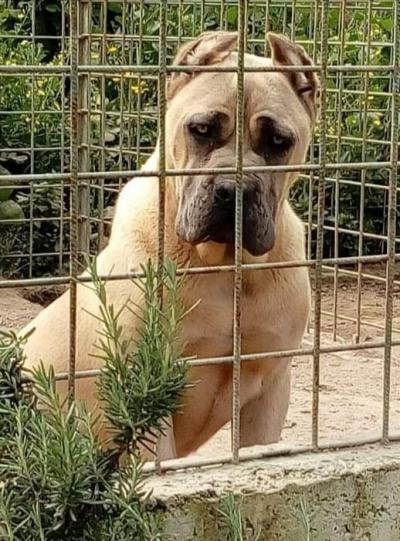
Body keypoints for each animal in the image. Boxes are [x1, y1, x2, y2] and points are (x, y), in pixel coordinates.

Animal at [21, 31, 318, 459]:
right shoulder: (144, 394)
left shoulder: (270, 392)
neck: (223, 266)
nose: (233, 190)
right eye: (202, 129)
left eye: (278, 141)